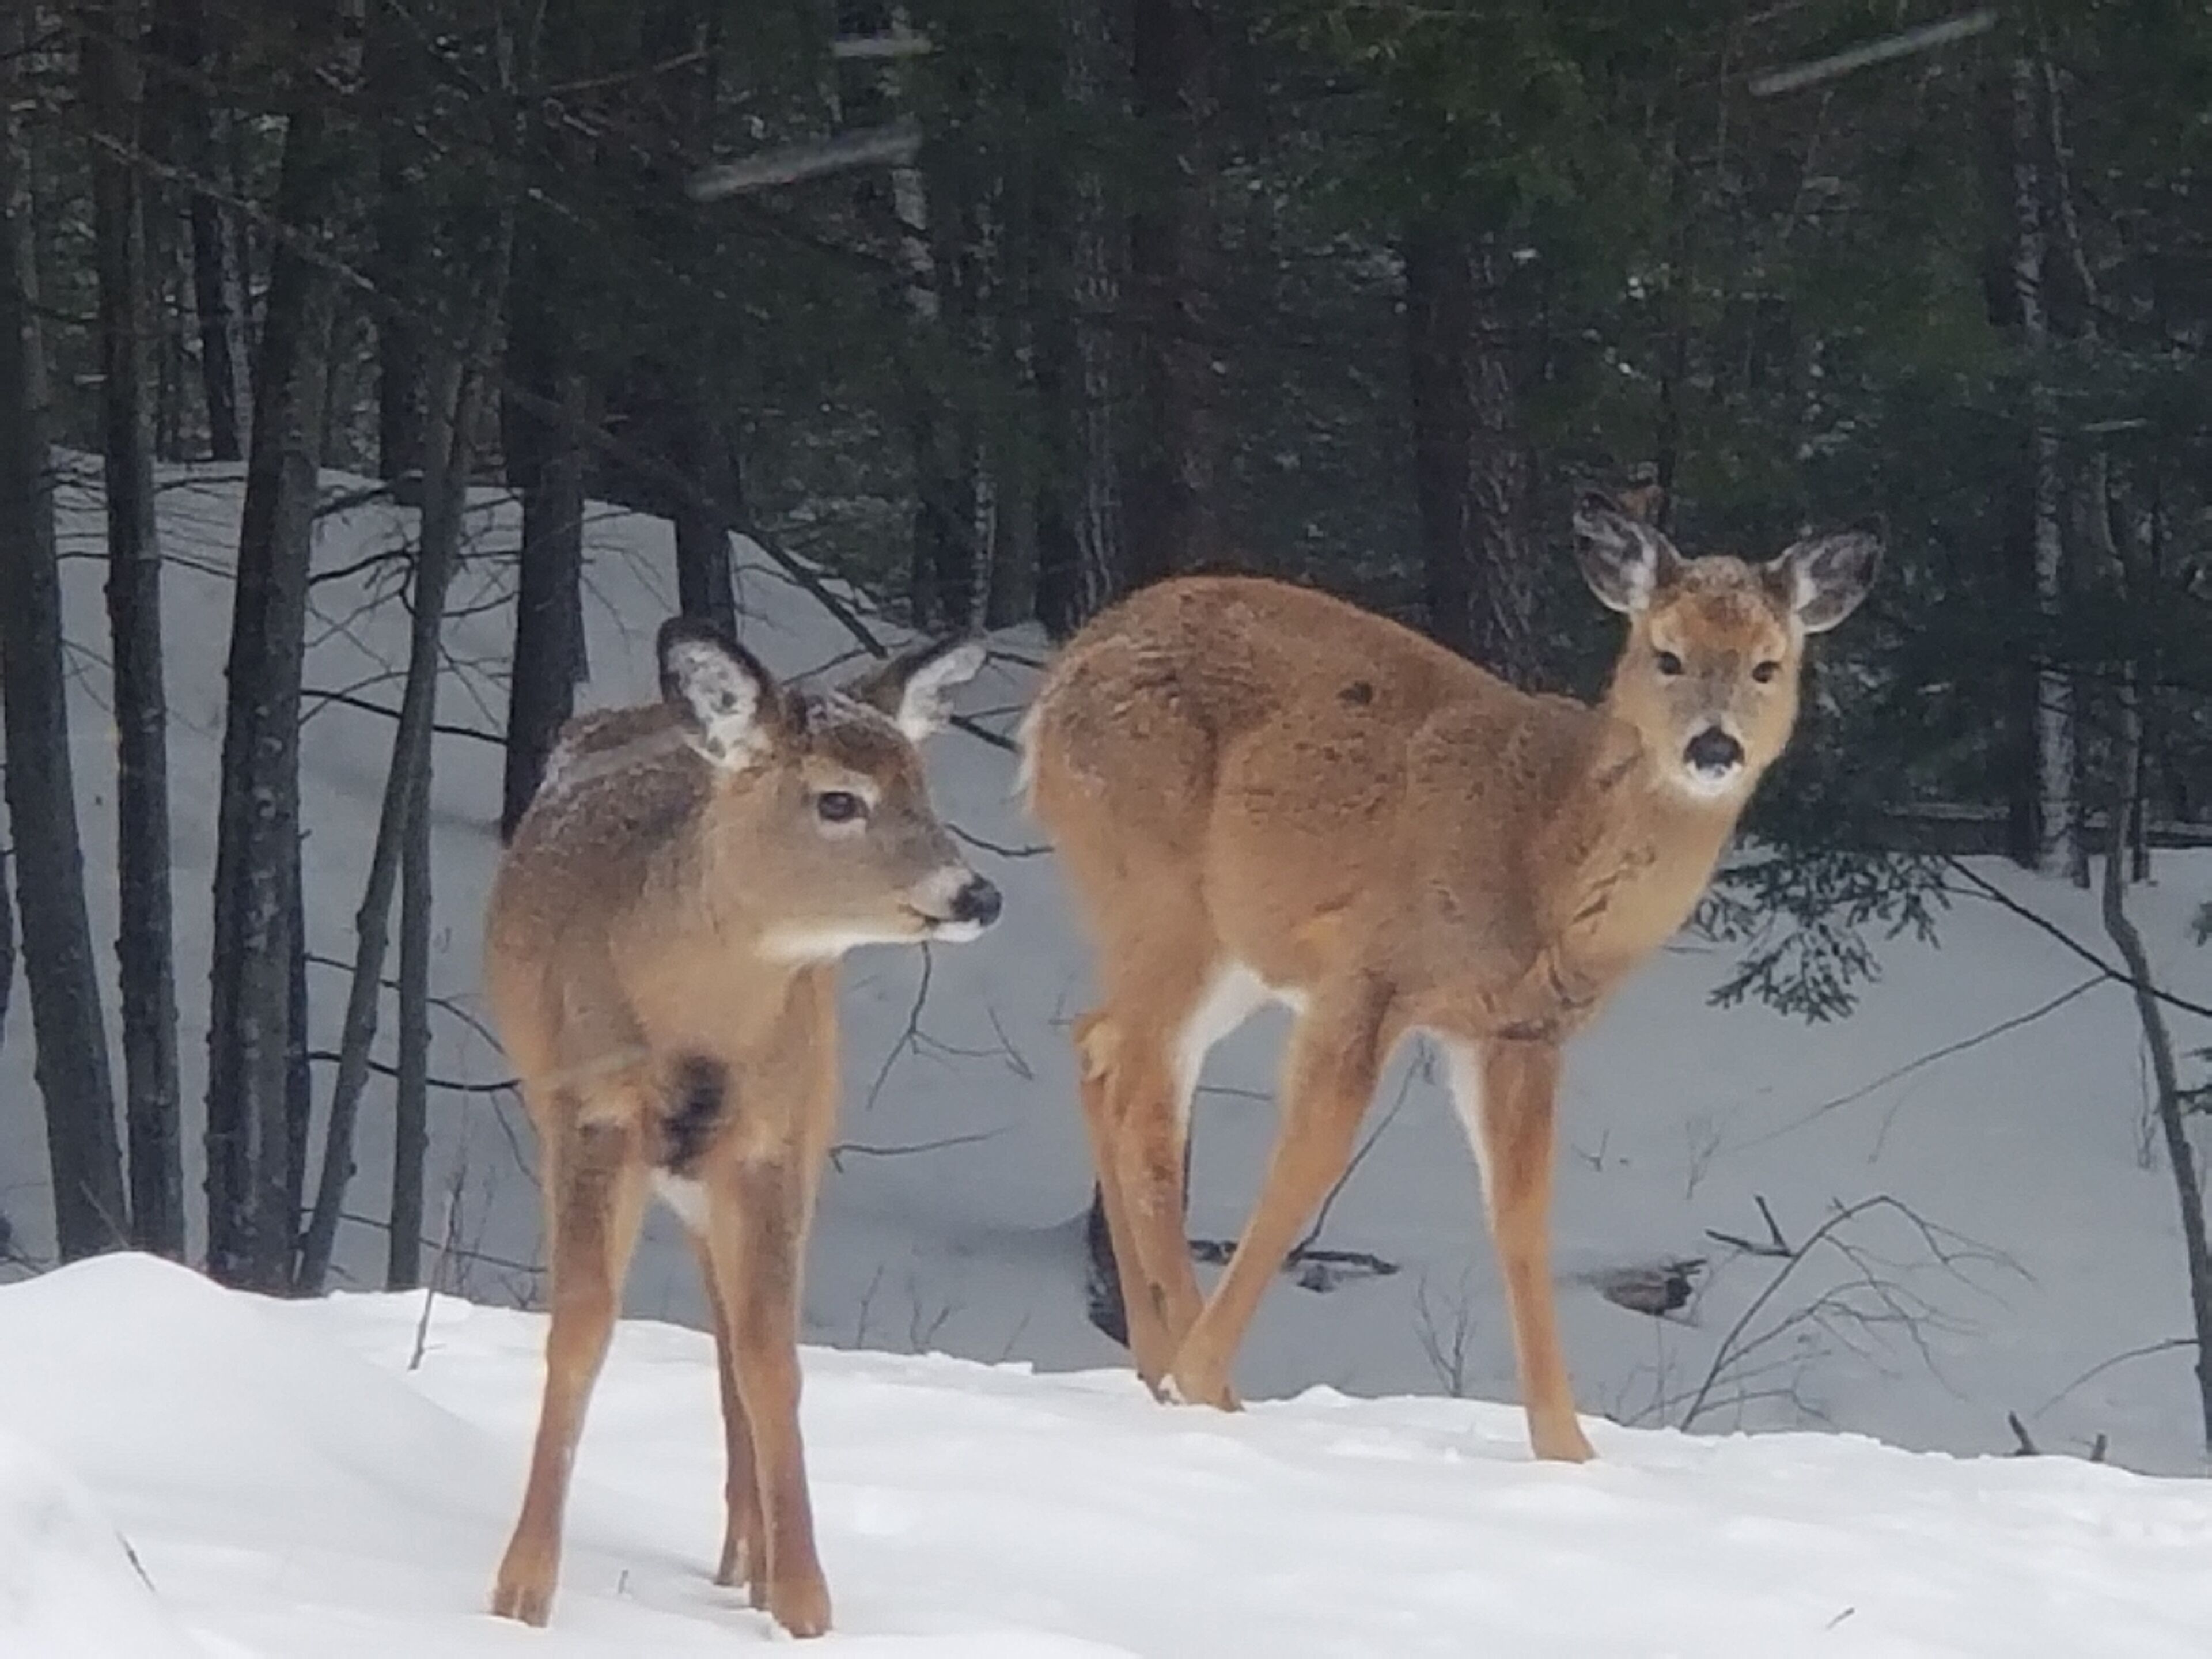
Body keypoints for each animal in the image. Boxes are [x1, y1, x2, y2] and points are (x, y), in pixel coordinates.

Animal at [483, 615, 1002, 1639]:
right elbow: (581, 1328)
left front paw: (803, 1599)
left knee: (735, 1322)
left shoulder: (771, 1137)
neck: (694, 1031)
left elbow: (773, 1358)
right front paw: (521, 1590)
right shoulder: (591, 1113)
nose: (977, 895)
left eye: (923, 786)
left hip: (800, 1119)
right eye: (838, 800)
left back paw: (748, 1554)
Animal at [1019, 493, 1877, 1463]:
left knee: (1098, 1045)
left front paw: (1568, 1450)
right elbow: (1308, 1164)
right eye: (1667, 654)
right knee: (1147, 1103)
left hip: (1221, 943)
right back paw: (1192, 1376)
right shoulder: (1368, 972)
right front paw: (1206, 1383)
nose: (1714, 745)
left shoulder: (1516, 1031)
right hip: (1161, 888)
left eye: (1768, 665)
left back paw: (1153, 1364)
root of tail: (1053, 691)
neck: (1545, 851)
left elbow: (1522, 1216)